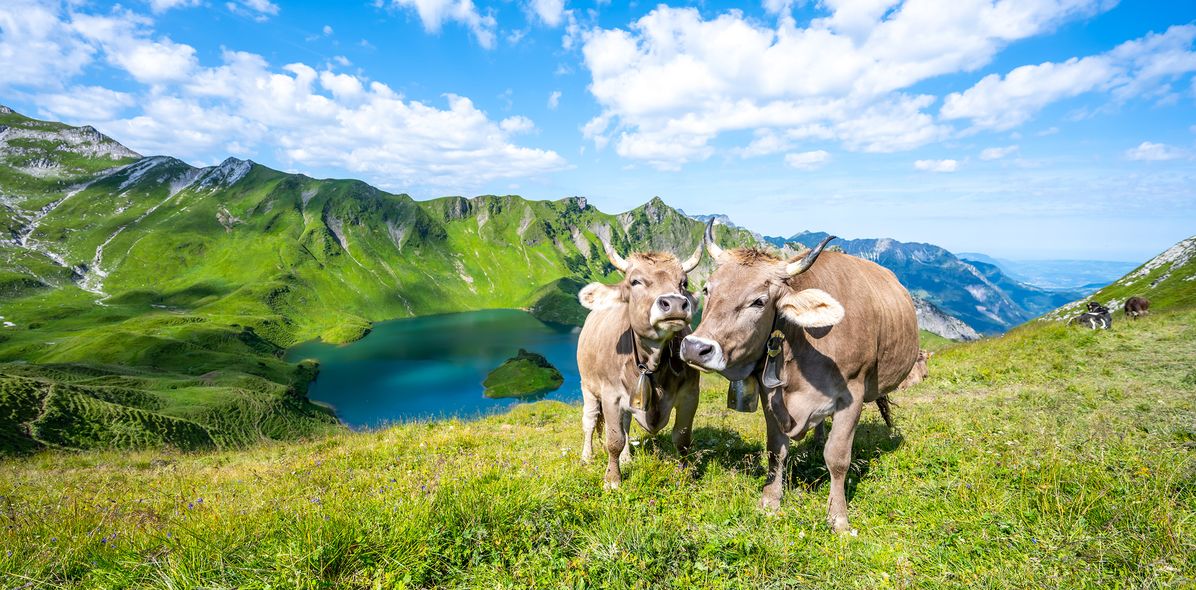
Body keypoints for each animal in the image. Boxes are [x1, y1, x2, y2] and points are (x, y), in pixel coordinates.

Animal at [576, 234, 698, 488]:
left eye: (683, 283)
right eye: (635, 282)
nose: (674, 304)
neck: (652, 364)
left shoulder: (691, 394)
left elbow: (682, 438)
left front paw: (683, 475)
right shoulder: (610, 395)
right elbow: (613, 440)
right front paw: (612, 480)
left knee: (625, 424)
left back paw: (627, 459)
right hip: (587, 387)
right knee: (589, 422)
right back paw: (587, 457)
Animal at [679, 221, 918, 533]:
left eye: (759, 301)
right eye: (708, 288)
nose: (696, 348)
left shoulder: (852, 394)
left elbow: (837, 457)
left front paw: (839, 518)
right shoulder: (771, 394)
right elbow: (775, 450)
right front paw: (770, 501)